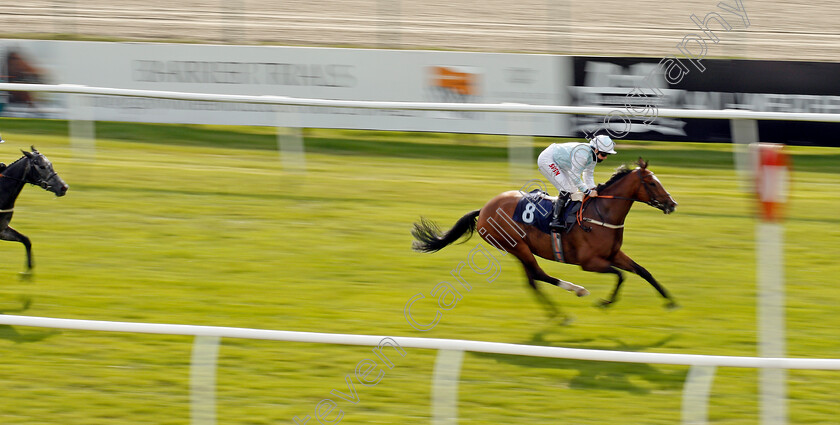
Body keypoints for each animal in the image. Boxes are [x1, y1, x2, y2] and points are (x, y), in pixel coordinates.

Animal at [414, 160, 684, 318]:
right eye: (652, 183)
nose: (672, 204)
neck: (601, 214)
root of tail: (484, 209)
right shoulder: (590, 263)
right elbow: (621, 275)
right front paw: (605, 302)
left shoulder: (614, 254)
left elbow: (643, 271)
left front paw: (670, 301)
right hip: (517, 246)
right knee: (538, 274)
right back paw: (574, 295)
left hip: (518, 249)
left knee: (532, 280)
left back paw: (558, 312)